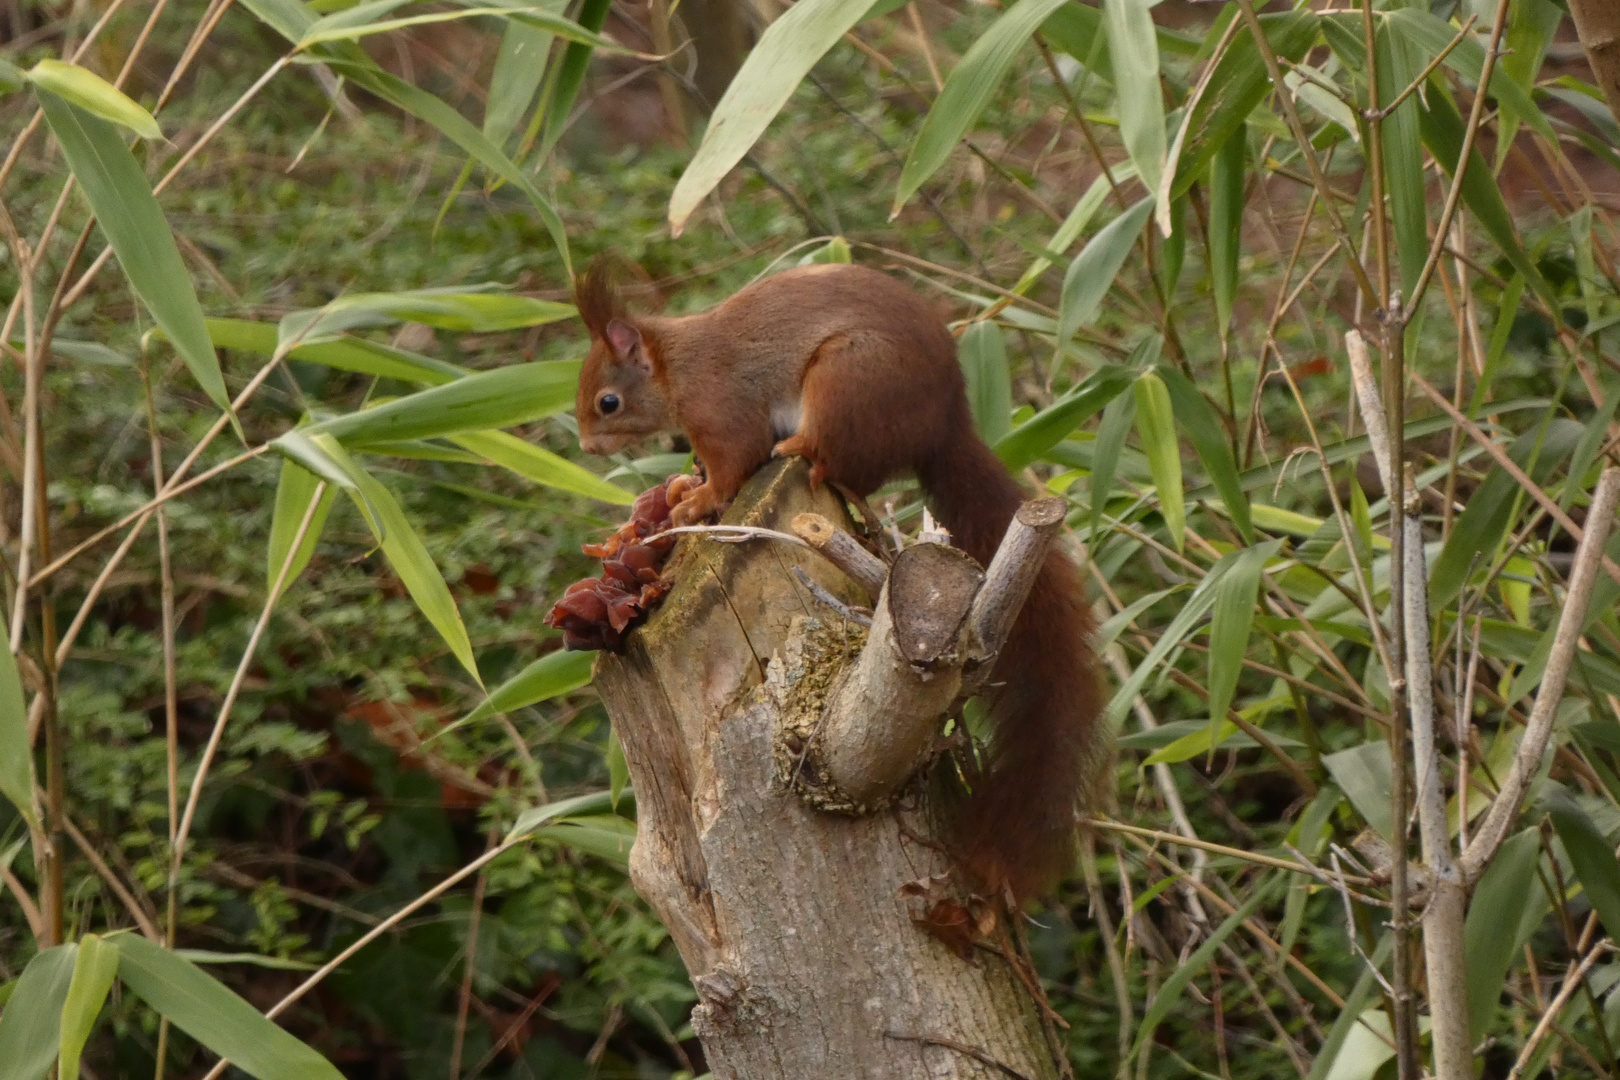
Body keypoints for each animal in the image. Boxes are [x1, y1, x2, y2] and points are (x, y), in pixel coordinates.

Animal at [570, 257, 1101, 900]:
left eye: (609, 402)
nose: (587, 445)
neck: (675, 366)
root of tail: (944, 427)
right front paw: (675, 489)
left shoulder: (721, 408)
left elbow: (734, 461)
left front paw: (695, 500)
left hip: (848, 379)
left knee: (839, 463)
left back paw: (804, 450)